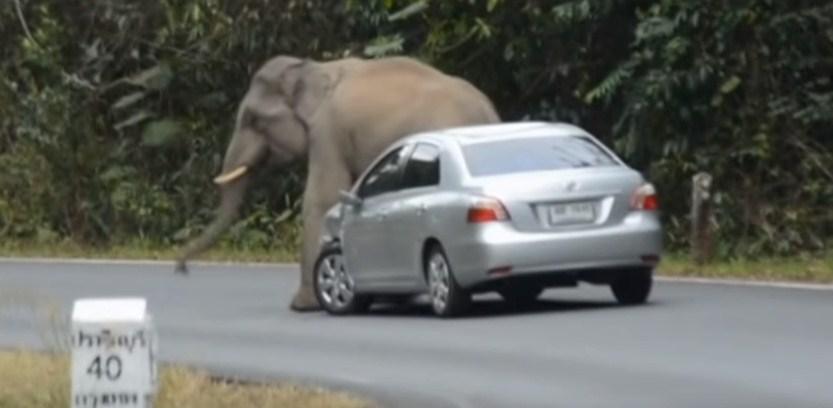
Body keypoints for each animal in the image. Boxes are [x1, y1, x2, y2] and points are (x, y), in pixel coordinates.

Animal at [175, 53, 498, 310]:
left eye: (254, 120)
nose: (181, 268)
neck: (314, 69)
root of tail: (485, 112)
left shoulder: (328, 131)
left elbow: (322, 199)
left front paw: (303, 306)